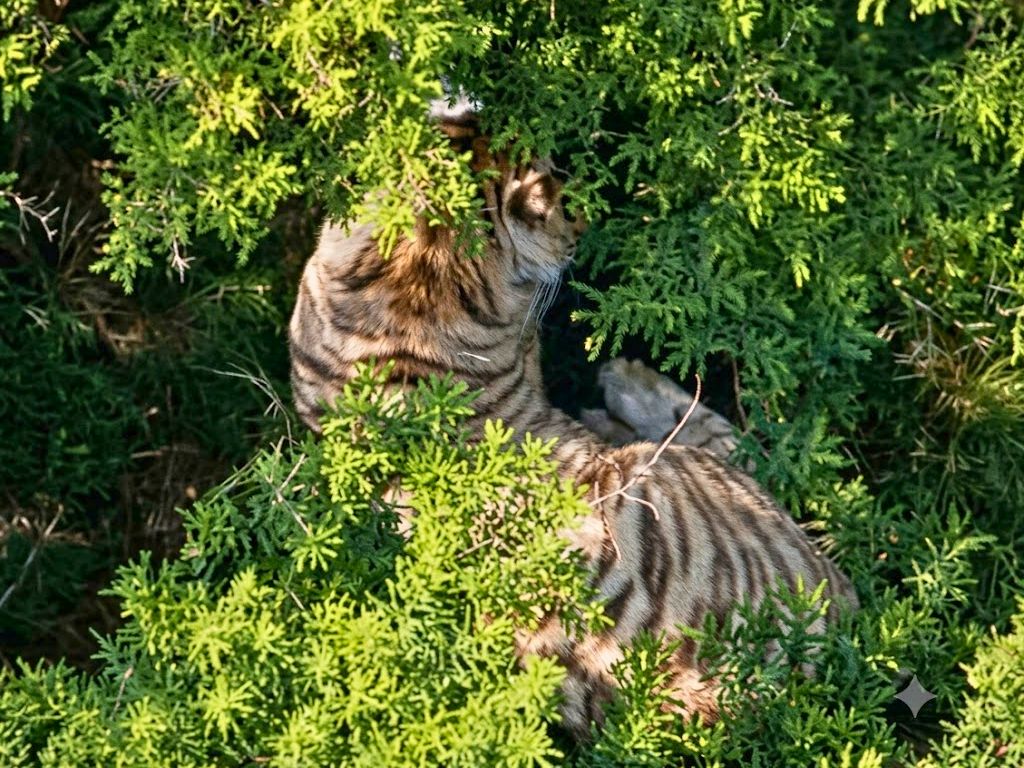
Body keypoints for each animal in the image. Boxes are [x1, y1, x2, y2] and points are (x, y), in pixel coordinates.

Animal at [288, 104, 858, 738]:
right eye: (563, 196)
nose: (585, 223)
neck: (421, 273)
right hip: (704, 482)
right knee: (732, 442)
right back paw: (623, 382)